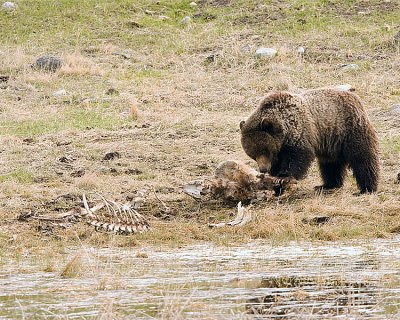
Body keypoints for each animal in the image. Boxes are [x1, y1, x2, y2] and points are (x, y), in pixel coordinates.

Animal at [239, 88, 380, 192]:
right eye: (252, 154)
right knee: (330, 165)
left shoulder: (299, 132)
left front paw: (284, 176)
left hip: (349, 130)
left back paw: (367, 188)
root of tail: (355, 98)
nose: (263, 169)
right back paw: (327, 185)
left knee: (362, 159)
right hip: (331, 144)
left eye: (265, 150)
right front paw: (275, 176)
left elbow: (298, 157)